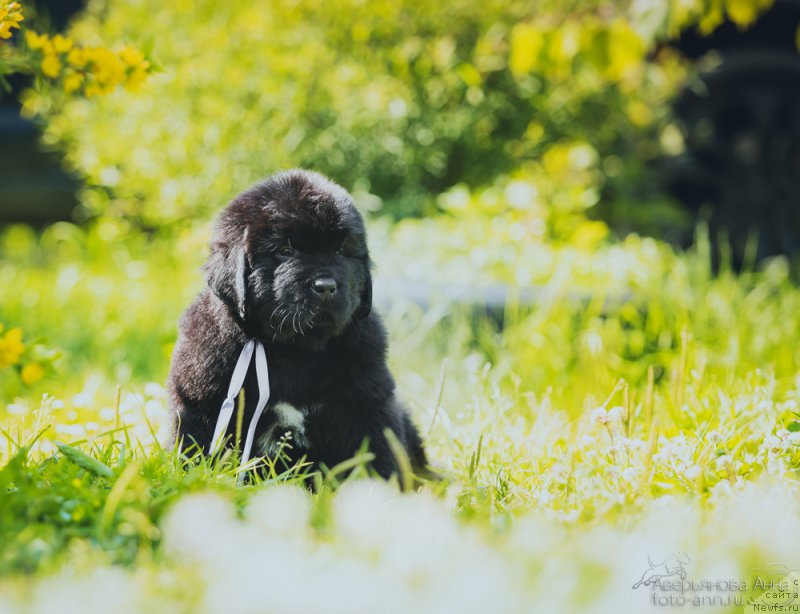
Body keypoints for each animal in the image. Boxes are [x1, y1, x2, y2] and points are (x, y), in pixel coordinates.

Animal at [166, 170, 432, 486]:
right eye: (285, 250)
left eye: (341, 250)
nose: (326, 286)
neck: (292, 350)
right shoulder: (202, 402)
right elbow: (197, 448)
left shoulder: (367, 401)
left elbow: (375, 454)